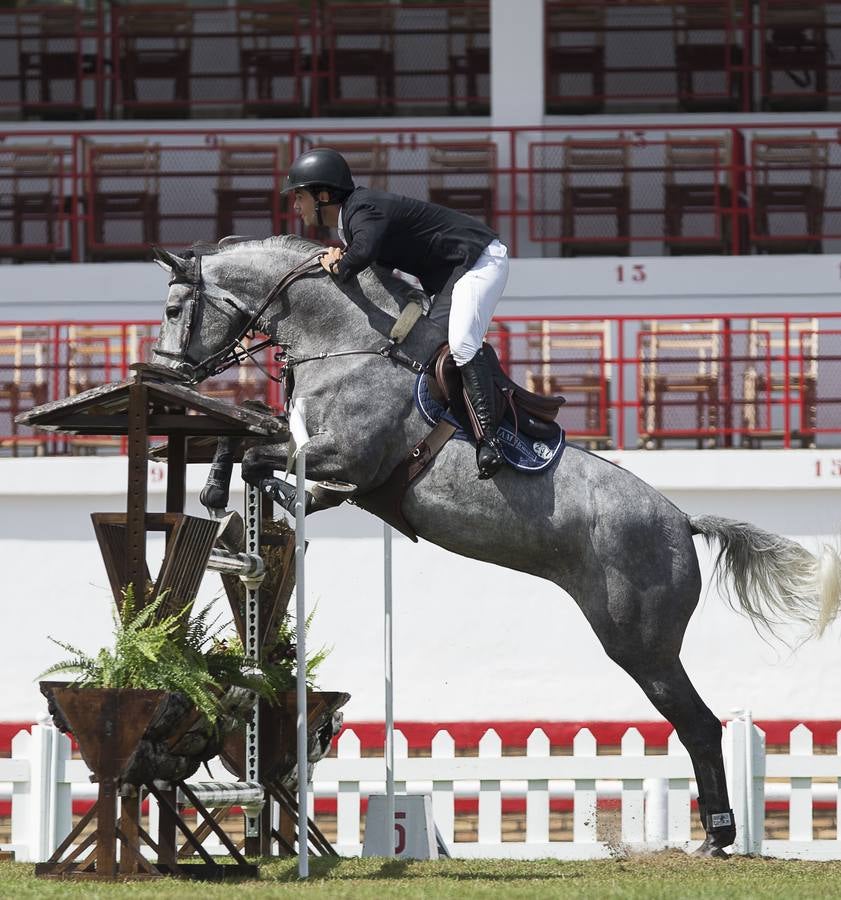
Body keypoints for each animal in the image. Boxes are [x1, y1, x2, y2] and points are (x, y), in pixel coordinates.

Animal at [151, 234, 840, 856]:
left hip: (641, 644)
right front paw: (231, 494)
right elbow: (249, 437)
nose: (166, 374)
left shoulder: (348, 457)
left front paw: (229, 491)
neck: (348, 346)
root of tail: (683, 522)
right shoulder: (328, 463)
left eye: (174, 308)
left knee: (698, 724)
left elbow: (257, 451)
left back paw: (717, 838)